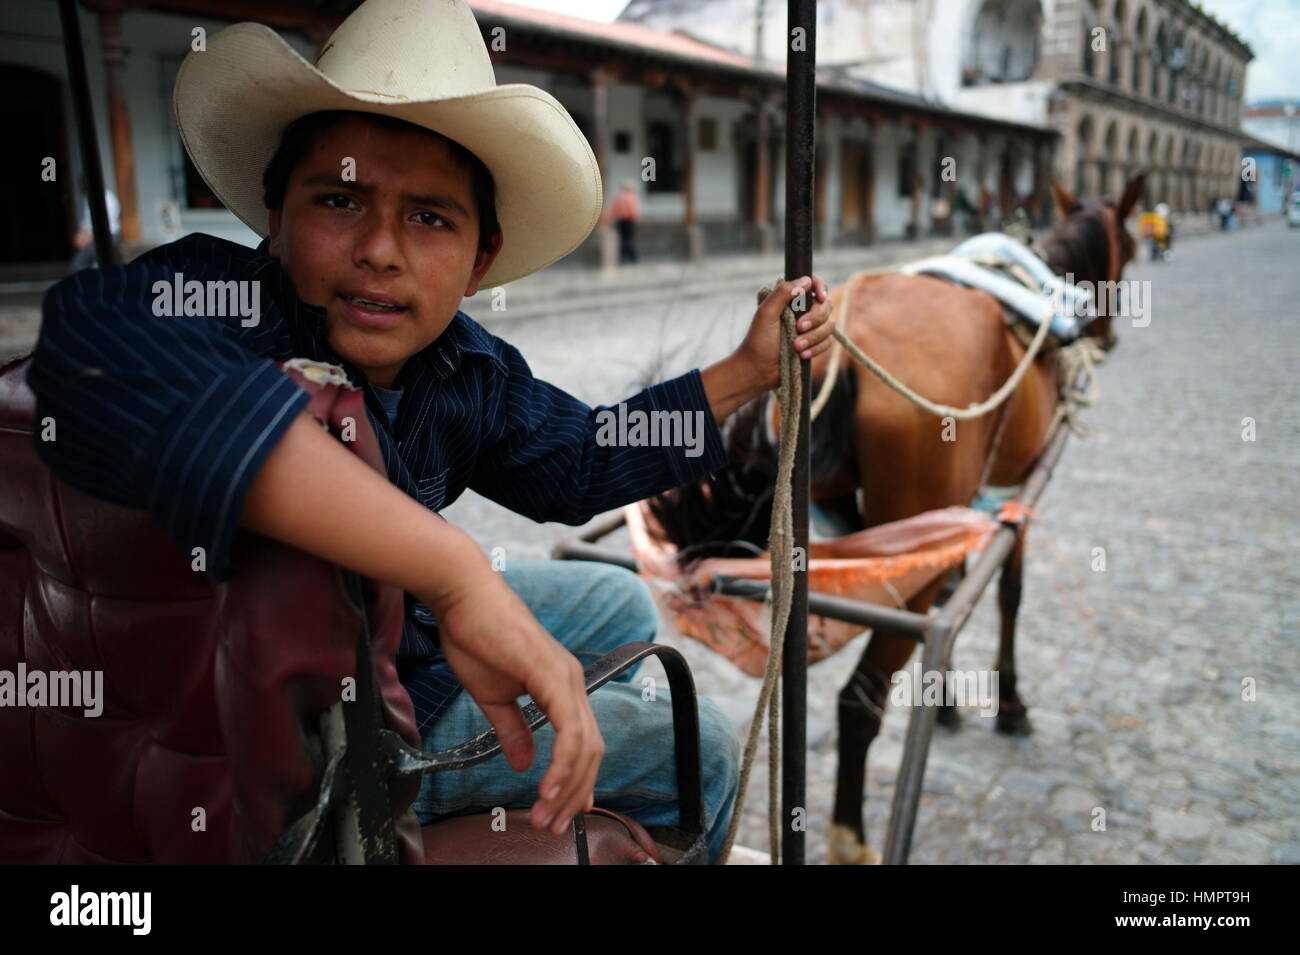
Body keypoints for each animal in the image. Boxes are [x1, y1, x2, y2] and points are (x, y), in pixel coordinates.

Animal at [644, 174, 1144, 867]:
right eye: (1132, 246)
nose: (1110, 337)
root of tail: (844, 355)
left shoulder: (967, 511)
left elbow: (960, 582)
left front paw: (951, 702)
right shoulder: (1017, 496)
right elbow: (1008, 596)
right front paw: (1009, 704)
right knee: (861, 699)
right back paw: (851, 838)